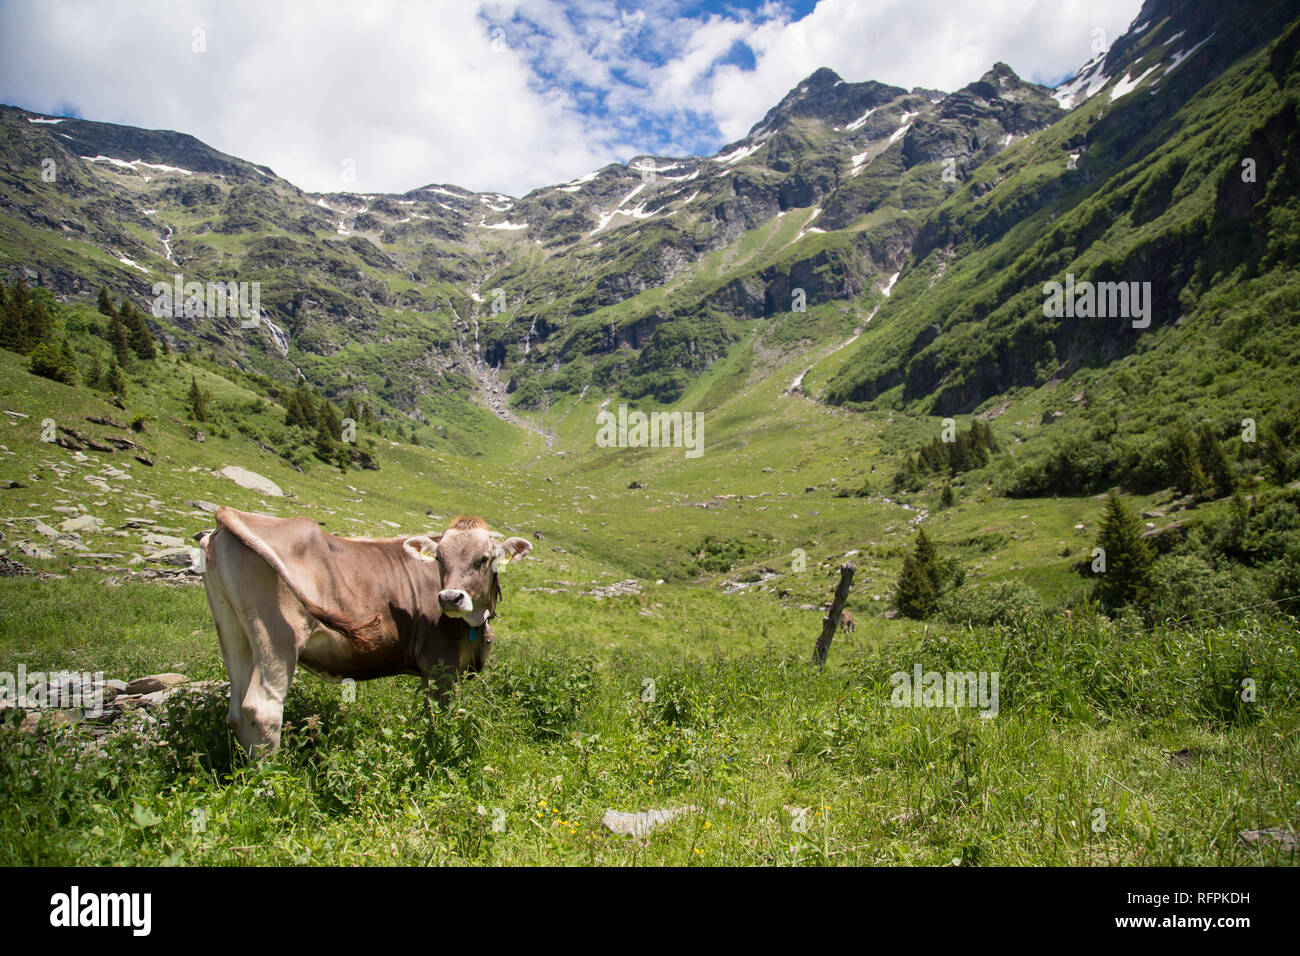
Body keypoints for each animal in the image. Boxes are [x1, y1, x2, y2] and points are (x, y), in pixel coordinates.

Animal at [200, 509, 530, 754]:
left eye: (484, 558)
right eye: (439, 559)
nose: (449, 598)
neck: (474, 625)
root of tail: (233, 515)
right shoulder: (441, 664)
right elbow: (440, 715)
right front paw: (441, 748)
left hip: (234, 633)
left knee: (237, 710)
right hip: (278, 636)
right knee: (262, 709)